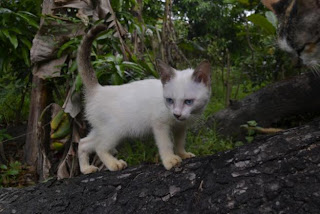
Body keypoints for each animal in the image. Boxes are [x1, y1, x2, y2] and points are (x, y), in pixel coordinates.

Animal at [77, 23, 211, 174]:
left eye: (188, 101)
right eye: (170, 100)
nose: (176, 114)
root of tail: (97, 88)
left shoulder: (180, 126)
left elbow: (179, 141)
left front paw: (183, 154)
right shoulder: (159, 124)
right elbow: (166, 144)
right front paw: (170, 160)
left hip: (101, 129)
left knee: (83, 143)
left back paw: (86, 169)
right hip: (115, 130)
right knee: (99, 147)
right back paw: (113, 164)